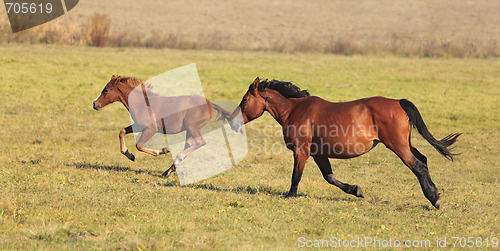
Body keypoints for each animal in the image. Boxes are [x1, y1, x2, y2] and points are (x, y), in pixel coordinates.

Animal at [93, 74, 230, 176]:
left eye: (106, 90)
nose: (94, 104)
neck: (142, 103)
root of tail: (210, 103)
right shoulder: (138, 125)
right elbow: (122, 132)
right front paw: (130, 155)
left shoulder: (151, 129)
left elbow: (139, 145)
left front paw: (162, 150)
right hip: (190, 130)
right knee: (190, 144)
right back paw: (168, 171)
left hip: (193, 127)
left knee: (200, 143)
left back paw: (176, 160)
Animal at [229, 77, 458, 209]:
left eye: (245, 100)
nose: (232, 121)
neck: (295, 110)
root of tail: (398, 102)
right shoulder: (318, 153)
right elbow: (329, 177)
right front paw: (356, 190)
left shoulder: (301, 151)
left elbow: (296, 175)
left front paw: (290, 196)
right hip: (406, 144)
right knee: (424, 160)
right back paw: (435, 194)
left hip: (398, 146)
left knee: (418, 166)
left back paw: (434, 199)